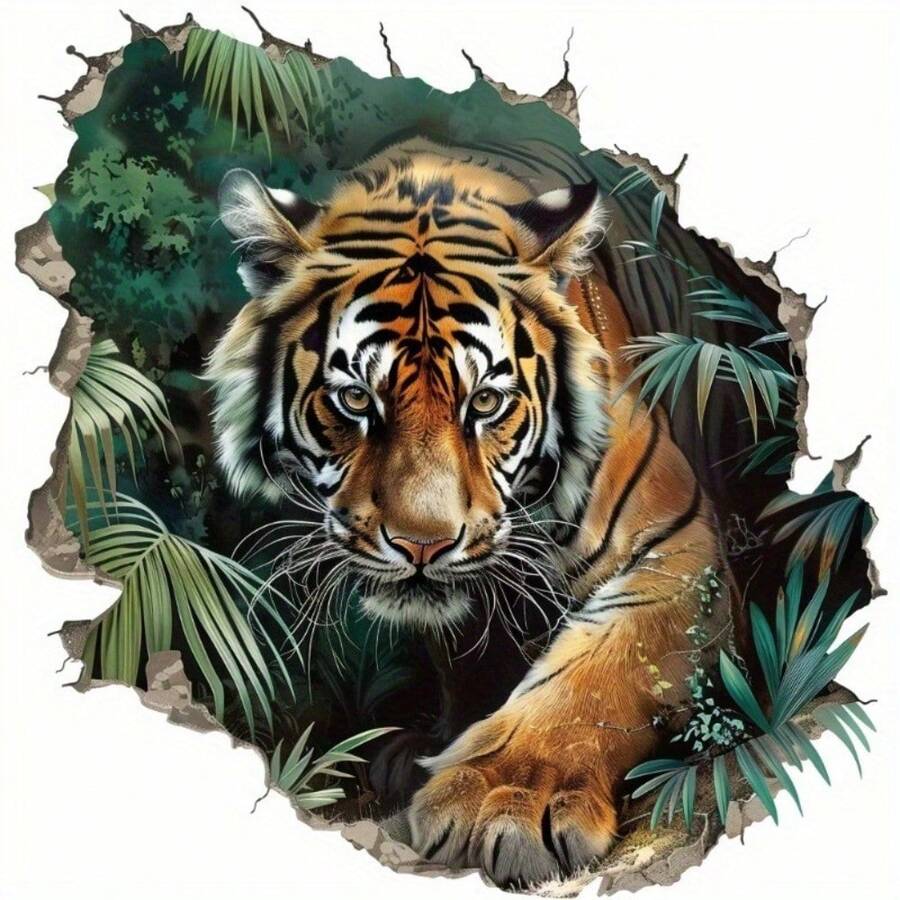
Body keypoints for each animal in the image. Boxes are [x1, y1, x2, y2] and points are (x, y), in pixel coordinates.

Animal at [206, 139, 734, 886]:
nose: (422, 545)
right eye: (356, 398)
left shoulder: (679, 548)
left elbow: (597, 674)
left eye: (485, 402)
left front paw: (507, 797)